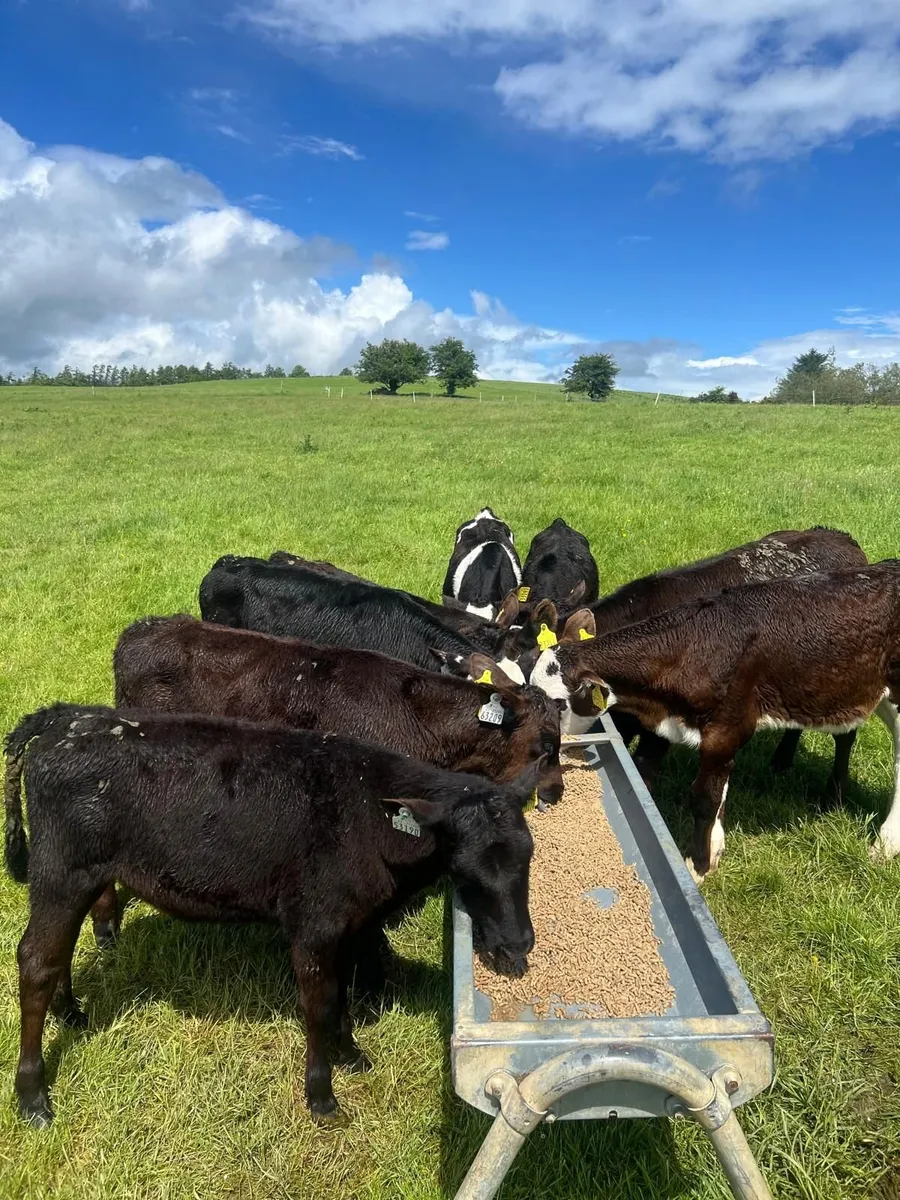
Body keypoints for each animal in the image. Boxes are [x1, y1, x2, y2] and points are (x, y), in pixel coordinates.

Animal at [5, 705, 538, 1125]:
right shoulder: (313, 925)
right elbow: (319, 1004)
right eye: (466, 868)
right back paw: (31, 1094)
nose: (519, 943)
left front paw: (351, 1053)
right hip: (61, 868)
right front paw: (321, 1095)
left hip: (84, 874)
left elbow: (341, 993)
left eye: (529, 855)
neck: (369, 812)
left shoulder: (347, 925)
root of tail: (64, 719)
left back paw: (71, 1012)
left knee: (59, 949)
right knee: (35, 961)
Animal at [529, 563, 900, 880]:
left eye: (558, 703)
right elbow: (719, 792)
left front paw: (698, 864)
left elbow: (704, 799)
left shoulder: (727, 727)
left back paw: (882, 841)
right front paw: (715, 848)